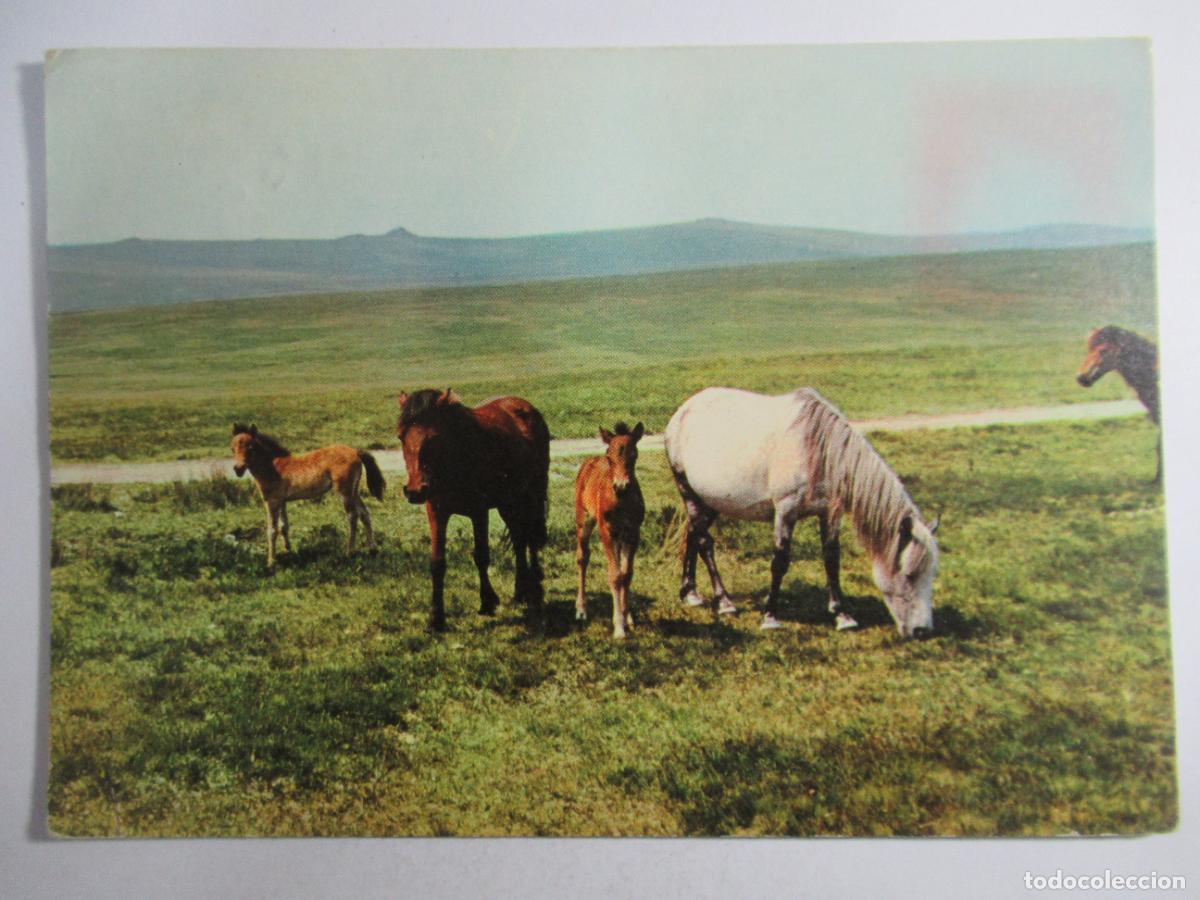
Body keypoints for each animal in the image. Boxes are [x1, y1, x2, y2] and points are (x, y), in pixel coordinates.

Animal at [230, 424, 385, 568]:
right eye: (232, 448)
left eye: (251, 447)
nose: (238, 469)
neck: (273, 467)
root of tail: (356, 451)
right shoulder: (282, 501)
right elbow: (284, 526)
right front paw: (288, 550)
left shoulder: (271, 501)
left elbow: (272, 530)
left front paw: (271, 562)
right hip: (354, 491)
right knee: (364, 513)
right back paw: (373, 549)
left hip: (344, 492)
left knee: (352, 516)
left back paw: (350, 552)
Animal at [396, 389, 550, 632]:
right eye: (401, 437)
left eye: (434, 438)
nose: (414, 490)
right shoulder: (436, 513)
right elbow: (437, 563)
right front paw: (436, 618)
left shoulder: (479, 512)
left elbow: (481, 556)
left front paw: (487, 602)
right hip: (508, 502)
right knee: (519, 539)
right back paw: (520, 591)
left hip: (531, 494)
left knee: (531, 537)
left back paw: (533, 584)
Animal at [574, 422, 646, 639]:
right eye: (609, 456)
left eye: (634, 454)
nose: (621, 486)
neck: (622, 502)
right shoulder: (608, 532)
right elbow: (614, 576)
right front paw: (619, 627)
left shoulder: (633, 533)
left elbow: (626, 574)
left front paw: (628, 617)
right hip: (583, 521)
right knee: (582, 557)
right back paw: (581, 610)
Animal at [664, 387, 939, 638]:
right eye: (910, 574)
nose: (922, 630)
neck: (817, 449)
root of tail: (683, 412)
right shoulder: (786, 511)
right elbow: (780, 562)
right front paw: (770, 617)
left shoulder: (829, 513)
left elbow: (831, 559)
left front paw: (842, 615)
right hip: (687, 490)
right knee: (704, 542)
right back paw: (724, 602)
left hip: (711, 502)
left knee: (692, 533)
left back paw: (690, 593)